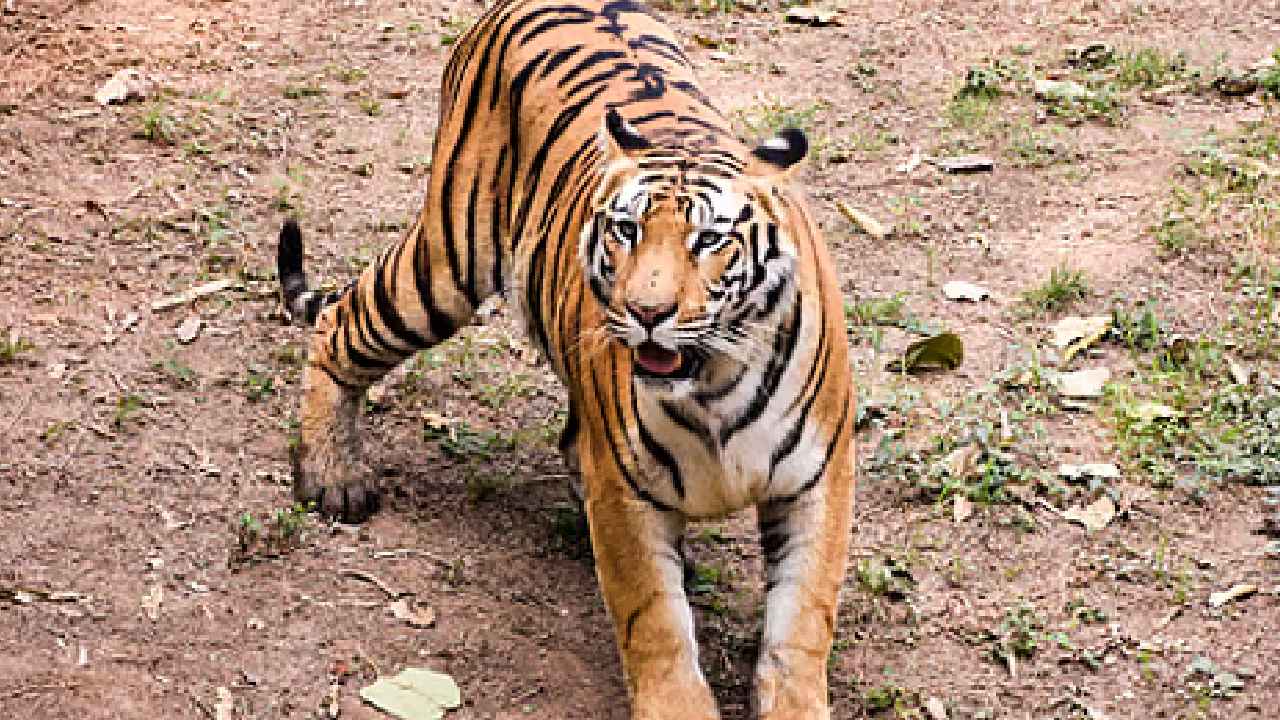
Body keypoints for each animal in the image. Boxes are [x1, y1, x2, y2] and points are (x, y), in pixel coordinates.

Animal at [276, 0, 856, 717]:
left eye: (708, 241)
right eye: (627, 230)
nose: (646, 311)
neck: (714, 385)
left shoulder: (816, 482)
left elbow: (800, 624)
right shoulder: (626, 493)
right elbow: (655, 624)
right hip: (446, 261)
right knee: (339, 324)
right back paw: (332, 477)